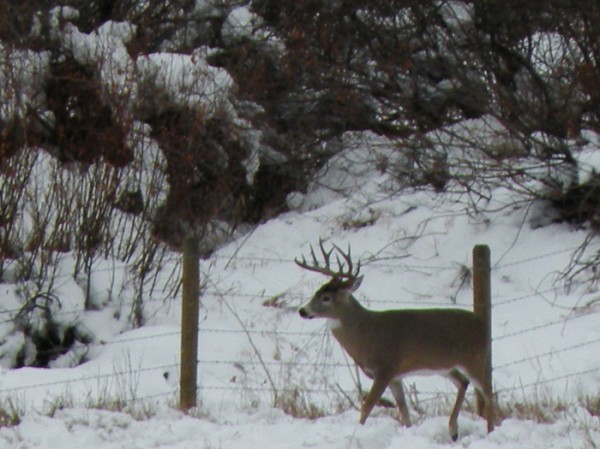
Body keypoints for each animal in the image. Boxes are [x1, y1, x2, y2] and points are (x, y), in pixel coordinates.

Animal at [296, 240, 496, 440]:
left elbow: (366, 407)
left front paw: (357, 433)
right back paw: (453, 430)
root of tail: (483, 323)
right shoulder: (396, 377)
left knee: (488, 392)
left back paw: (490, 431)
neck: (365, 335)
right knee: (463, 382)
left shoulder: (386, 368)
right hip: (446, 366)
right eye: (316, 293)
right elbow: (404, 412)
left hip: (474, 358)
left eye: (326, 298)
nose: (302, 311)